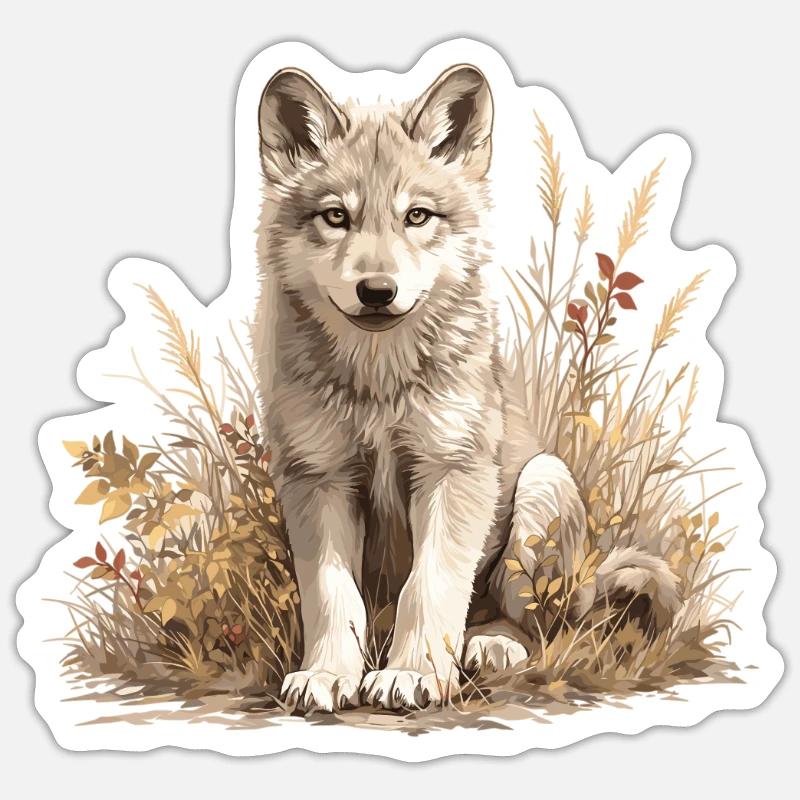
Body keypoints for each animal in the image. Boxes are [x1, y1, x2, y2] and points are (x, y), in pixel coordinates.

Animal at [253, 63, 680, 712]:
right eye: (336, 217)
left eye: (417, 216)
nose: (377, 291)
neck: (380, 382)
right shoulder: (317, 477)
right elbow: (332, 596)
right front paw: (327, 675)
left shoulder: (453, 470)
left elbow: (429, 586)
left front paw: (412, 675)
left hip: (542, 486)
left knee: (536, 627)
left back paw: (491, 646)